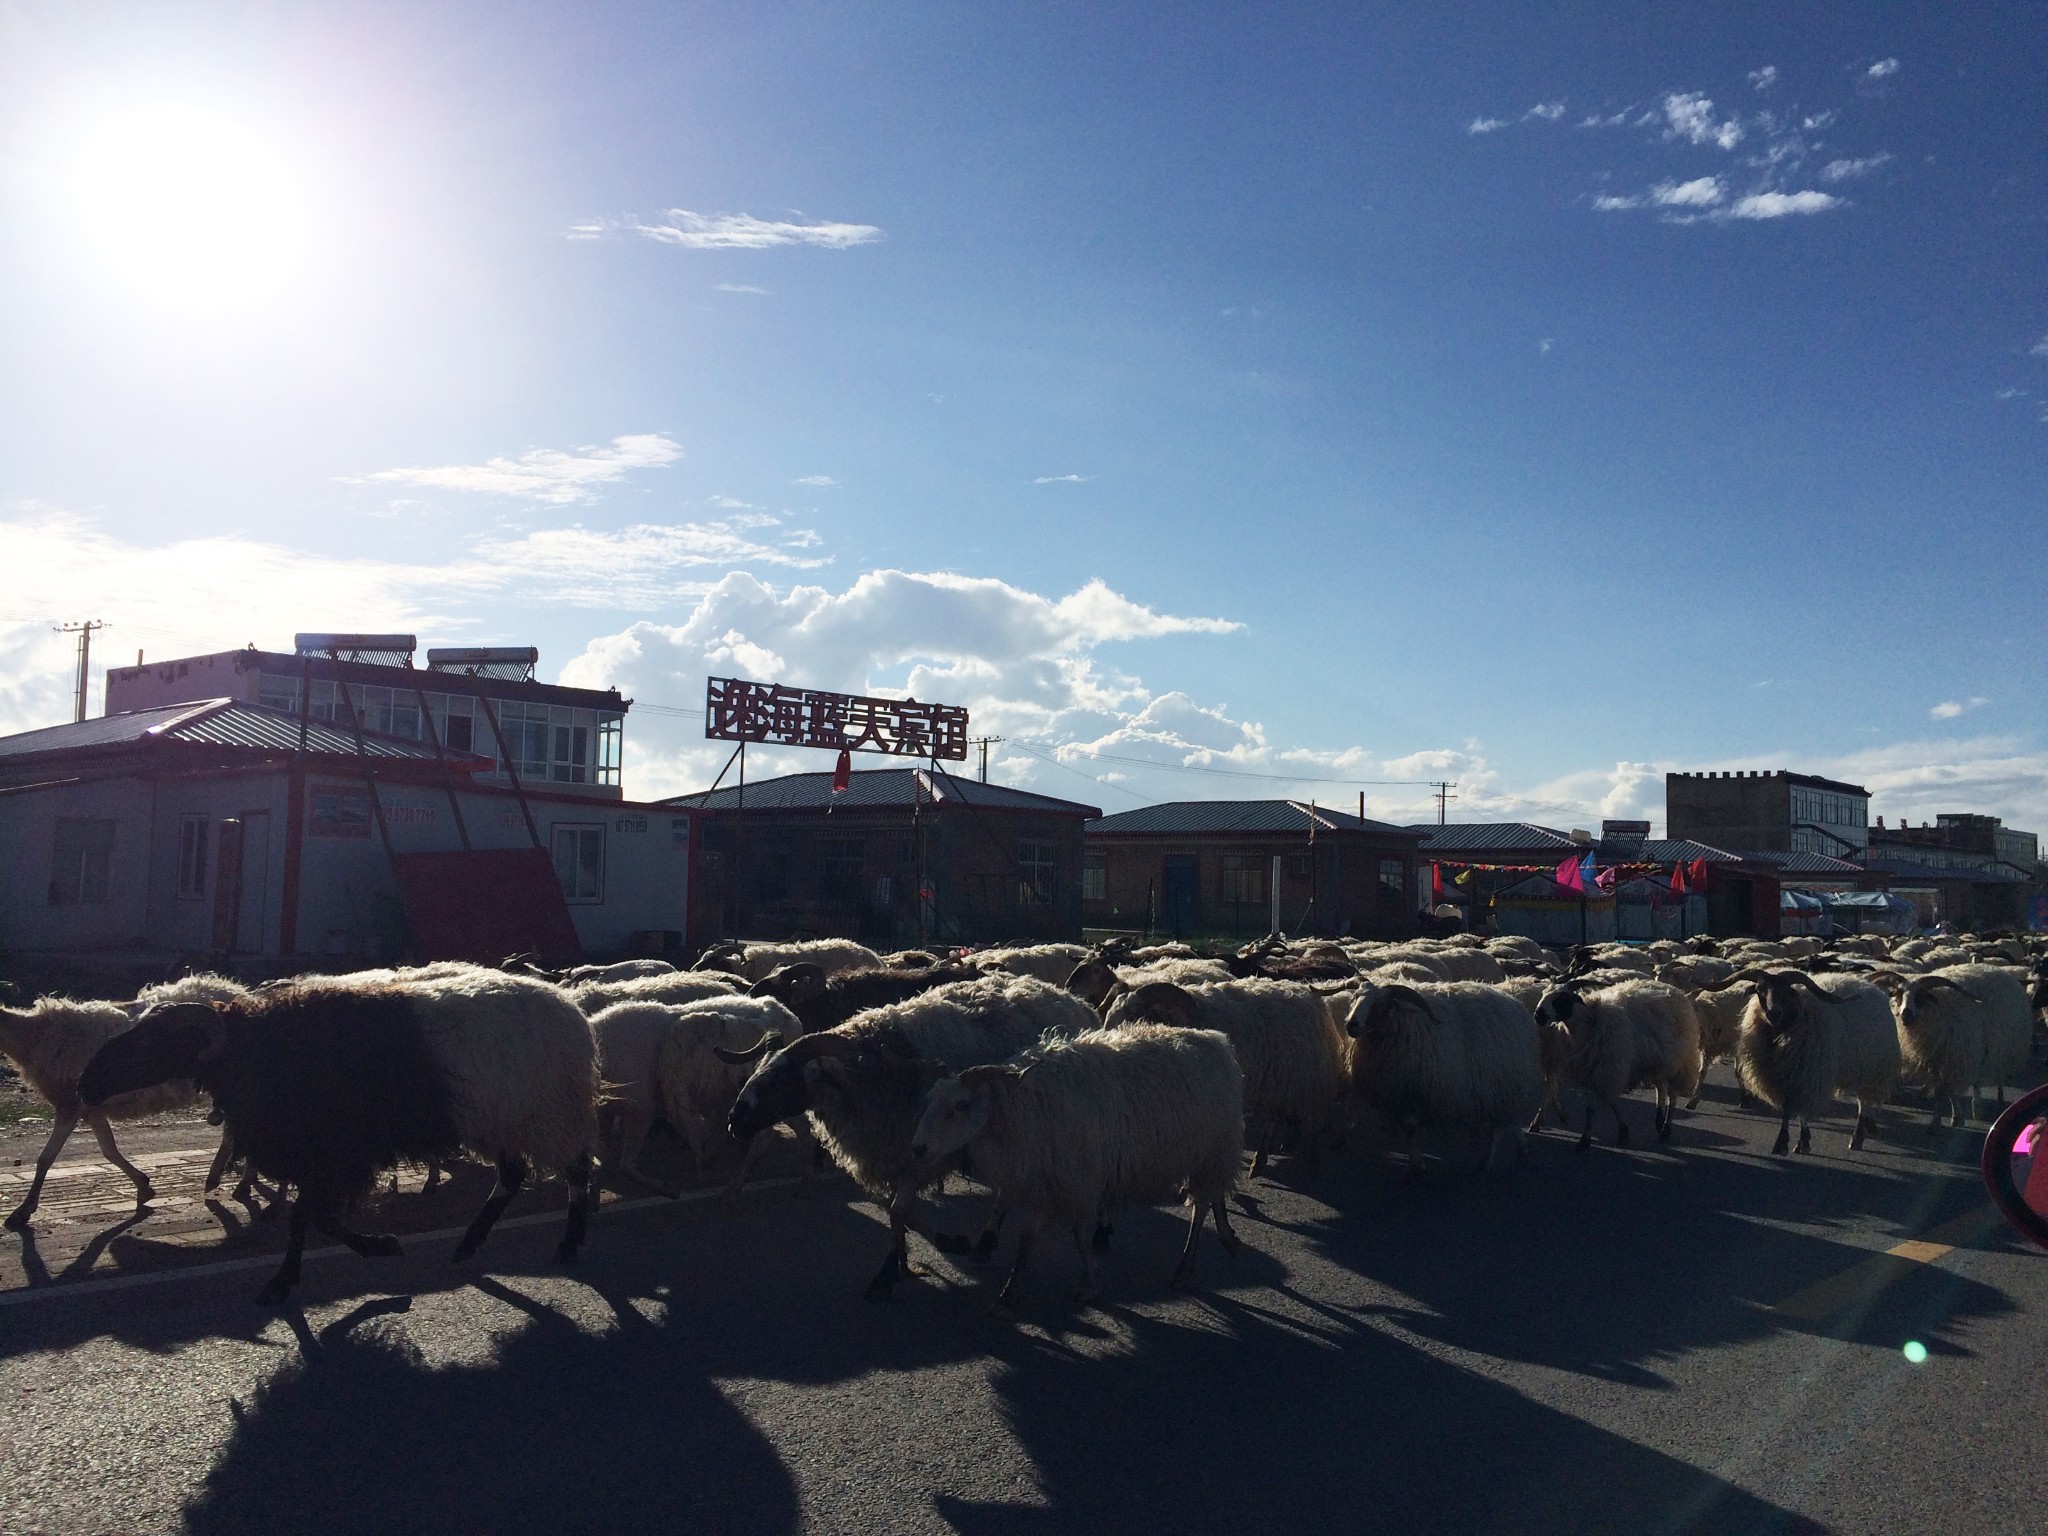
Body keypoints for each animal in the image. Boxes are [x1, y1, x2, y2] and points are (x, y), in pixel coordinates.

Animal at [905, 1024, 1236, 1310]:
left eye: (961, 1105)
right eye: (928, 1100)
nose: (917, 1149)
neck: (1020, 1108)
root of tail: (1216, 1040)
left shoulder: (1075, 1178)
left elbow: (1066, 1233)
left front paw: (1084, 1284)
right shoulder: (1041, 1178)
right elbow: (1019, 1228)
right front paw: (1008, 1281)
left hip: (1213, 1154)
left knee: (1201, 1207)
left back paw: (1185, 1267)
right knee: (1212, 1198)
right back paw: (1220, 1240)